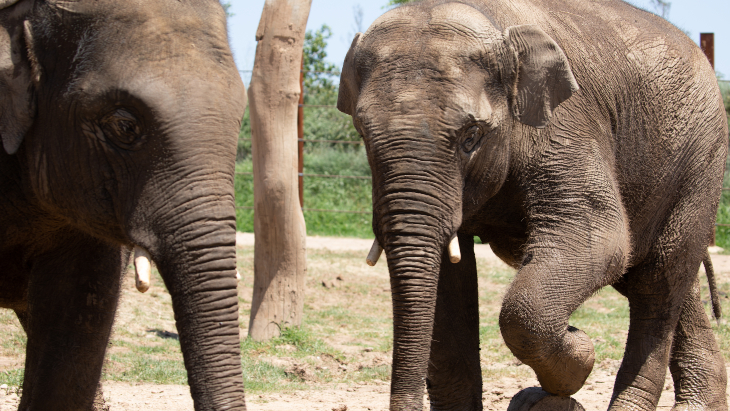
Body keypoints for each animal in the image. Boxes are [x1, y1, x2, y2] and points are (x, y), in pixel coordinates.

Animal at [336, 0, 728, 411]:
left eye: (471, 136)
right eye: (362, 133)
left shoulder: (568, 123)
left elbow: (602, 241)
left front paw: (579, 353)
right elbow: (449, 282)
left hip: (700, 158)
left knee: (658, 284)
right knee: (662, 278)